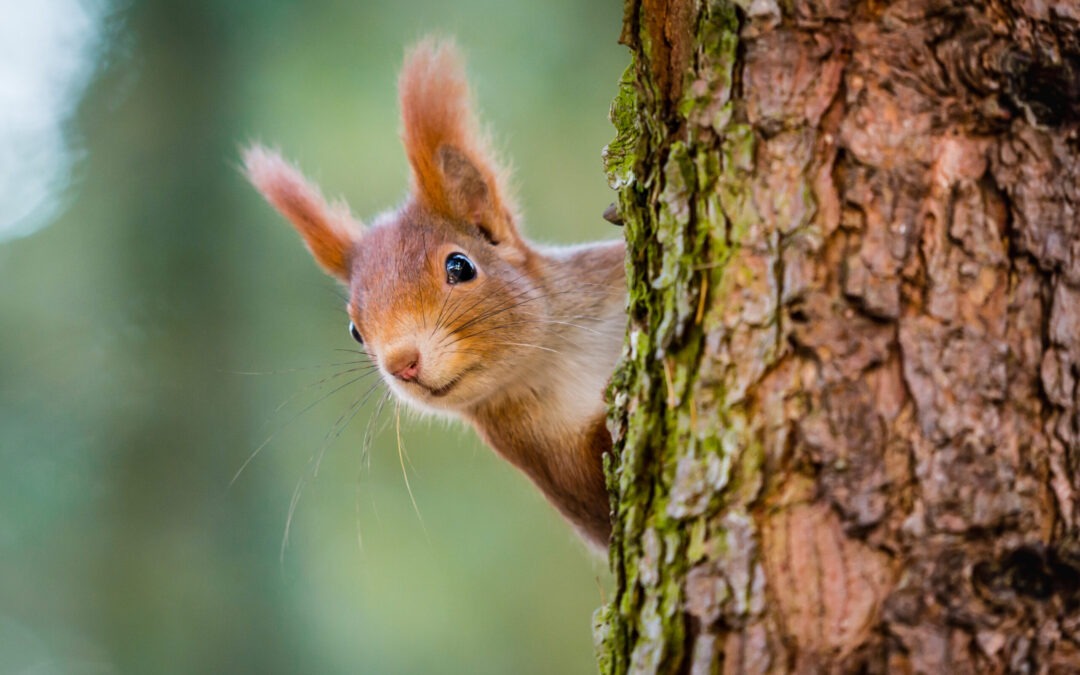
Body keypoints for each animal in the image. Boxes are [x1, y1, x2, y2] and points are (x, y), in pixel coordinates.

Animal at [241, 38, 626, 548]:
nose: (401, 363)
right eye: (355, 331)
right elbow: (600, 501)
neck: (557, 357)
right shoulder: (552, 464)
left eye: (459, 266)